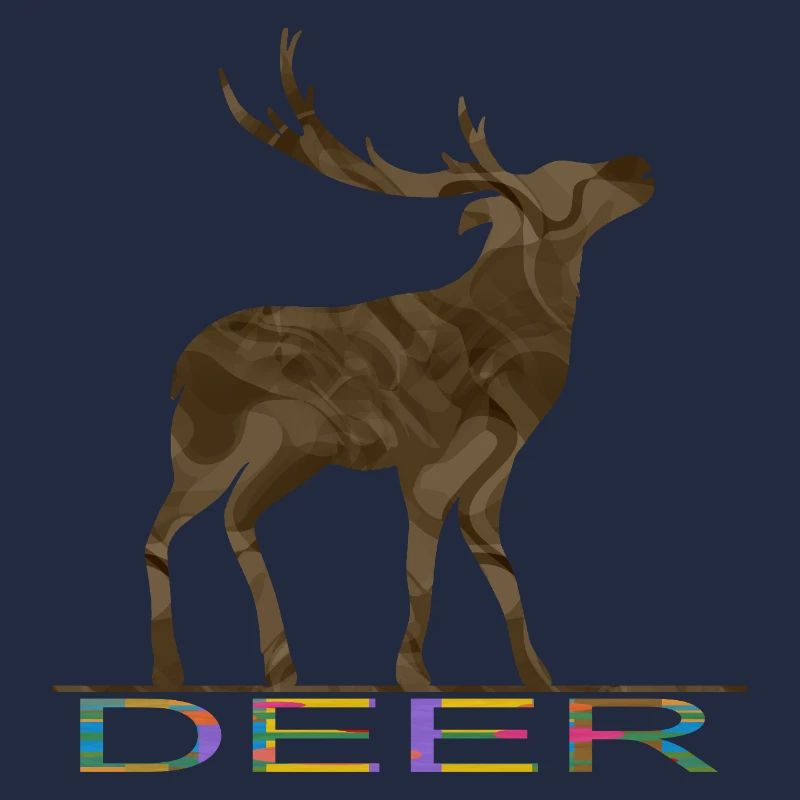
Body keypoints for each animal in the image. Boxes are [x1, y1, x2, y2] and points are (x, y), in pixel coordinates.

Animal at [144, 28, 654, 692]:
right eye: (565, 189)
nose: (636, 164)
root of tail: (180, 367)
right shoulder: (423, 462)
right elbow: (421, 568)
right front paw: (414, 675)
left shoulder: (497, 466)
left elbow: (498, 564)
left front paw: (540, 678)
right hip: (213, 443)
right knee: (173, 527)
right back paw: (180, 673)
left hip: (281, 449)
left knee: (227, 517)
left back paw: (277, 671)